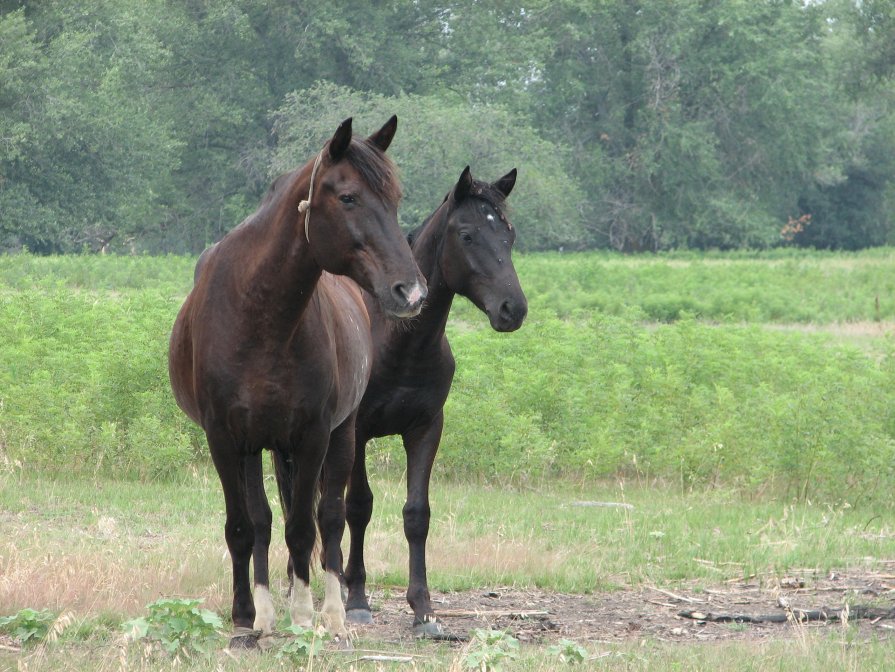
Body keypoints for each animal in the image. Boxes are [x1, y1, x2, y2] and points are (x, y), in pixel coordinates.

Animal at [167, 118, 428, 644]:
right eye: (348, 197)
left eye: (395, 198)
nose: (410, 292)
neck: (259, 313)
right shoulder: (225, 439)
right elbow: (244, 527)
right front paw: (246, 617)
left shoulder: (312, 436)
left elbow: (307, 527)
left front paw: (307, 616)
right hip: (259, 447)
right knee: (267, 521)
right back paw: (270, 611)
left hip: (342, 434)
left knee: (329, 519)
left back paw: (335, 613)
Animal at [272, 164, 524, 636]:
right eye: (467, 234)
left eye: (509, 235)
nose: (512, 309)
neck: (401, 341)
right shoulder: (358, 432)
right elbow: (358, 507)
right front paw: (356, 598)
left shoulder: (426, 429)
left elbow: (416, 513)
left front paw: (423, 609)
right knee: (295, 500)